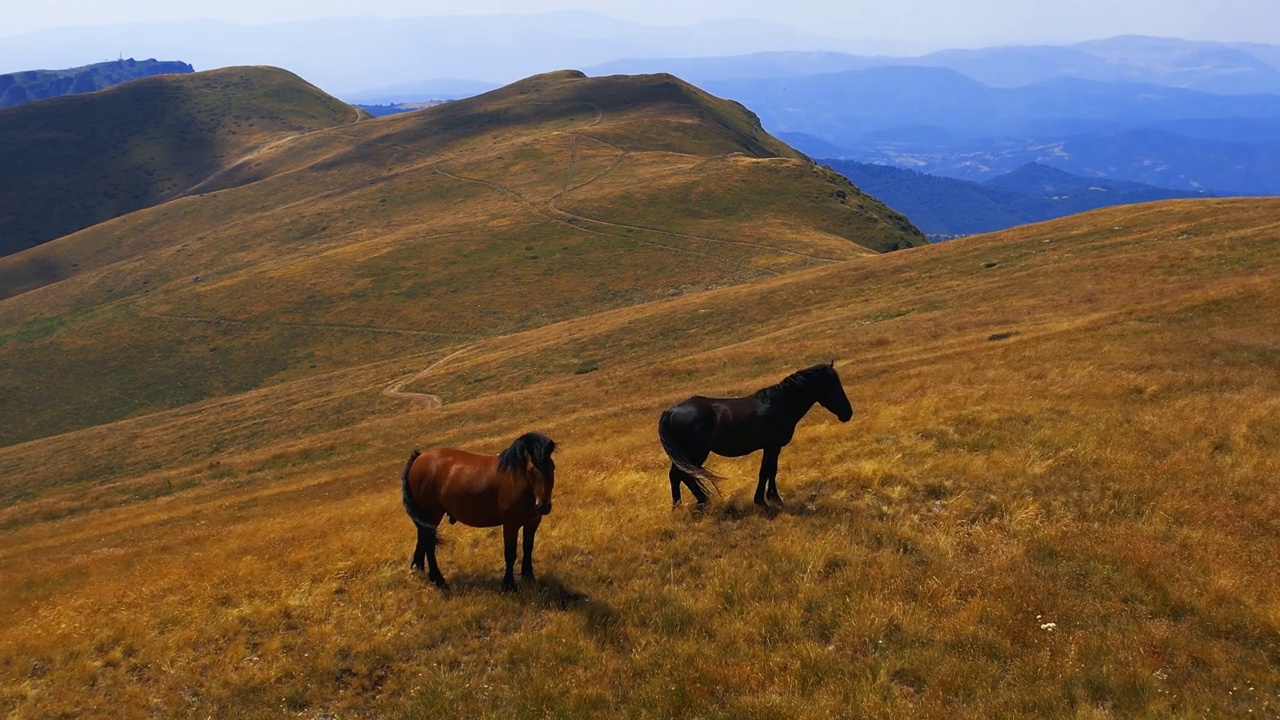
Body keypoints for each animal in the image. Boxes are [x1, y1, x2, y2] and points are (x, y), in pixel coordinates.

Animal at [401, 430, 558, 589]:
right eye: (530, 470)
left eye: (552, 467)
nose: (543, 506)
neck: (516, 480)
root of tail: (418, 458)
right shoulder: (510, 525)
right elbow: (510, 554)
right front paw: (508, 585)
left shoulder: (532, 523)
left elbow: (528, 548)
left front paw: (529, 577)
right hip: (432, 515)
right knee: (429, 545)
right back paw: (439, 580)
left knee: (423, 540)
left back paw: (420, 570)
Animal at [660, 358, 849, 504]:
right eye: (833, 386)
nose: (848, 413)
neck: (780, 404)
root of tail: (670, 411)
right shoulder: (771, 446)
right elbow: (765, 471)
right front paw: (761, 501)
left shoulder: (774, 447)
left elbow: (772, 470)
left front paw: (773, 497)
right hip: (695, 453)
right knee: (683, 475)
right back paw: (702, 501)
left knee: (676, 476)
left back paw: (680, 507)